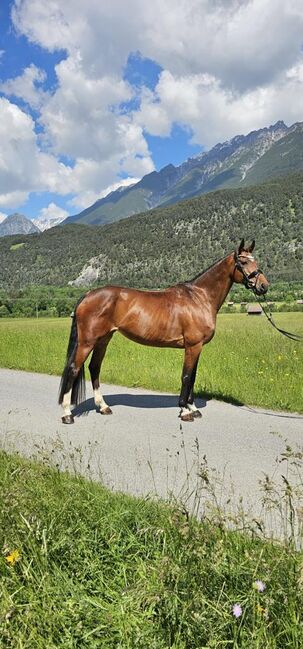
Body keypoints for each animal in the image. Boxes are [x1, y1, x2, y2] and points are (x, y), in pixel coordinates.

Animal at [58, 240, 270, 422]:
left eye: (256, 260)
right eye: (243, 261)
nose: (263, 286)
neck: (199, 297)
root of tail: (87, 295)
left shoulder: (197, 347)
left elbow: (193, 377)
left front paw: (193, 408)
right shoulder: (193, 346)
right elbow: (186, 376)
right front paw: (185, 410)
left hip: (103, 339)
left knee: (94, 367)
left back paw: (103, 407)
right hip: (87, 341)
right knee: (73, 369)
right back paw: (67, 414)